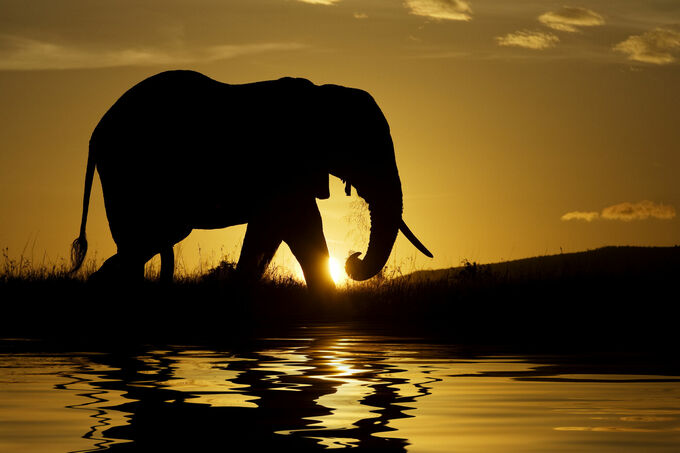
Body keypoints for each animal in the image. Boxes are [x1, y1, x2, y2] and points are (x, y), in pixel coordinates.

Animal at [70, 70, 432, 291]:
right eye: (364, 150)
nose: (353, 258)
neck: (321, 94)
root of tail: (95, 133)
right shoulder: (283, 161)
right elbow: (287, 225)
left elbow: (286, 229)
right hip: (127, 170)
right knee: (145, 238)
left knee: (144, 241)